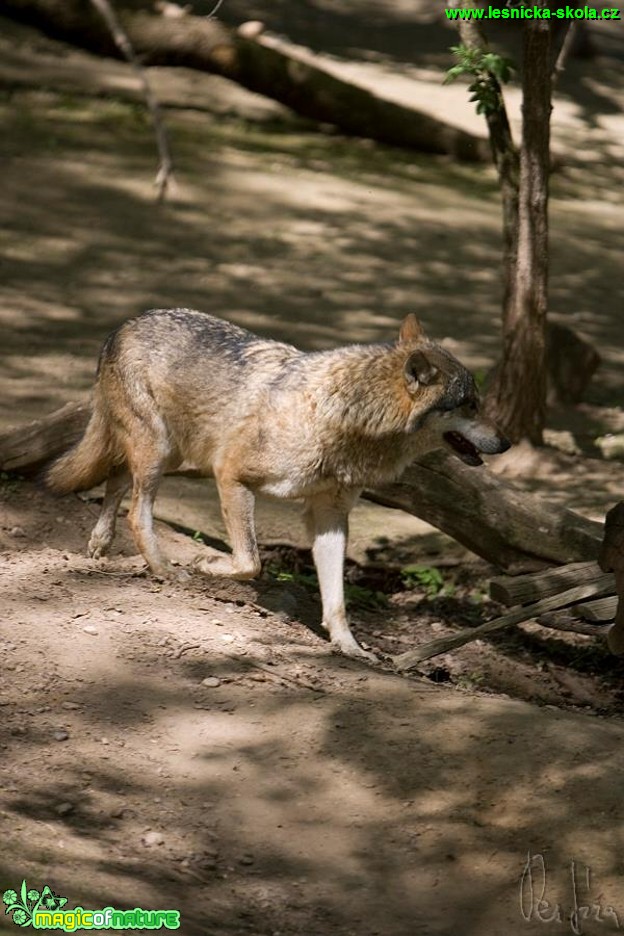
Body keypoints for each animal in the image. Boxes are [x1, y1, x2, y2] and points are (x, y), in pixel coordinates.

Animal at [47, 308, 508, 660]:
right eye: (470, 404)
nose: (505, 441)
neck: (339, 417)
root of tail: (125, 324)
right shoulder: (230, 474)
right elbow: (250, 561)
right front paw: (206, 564)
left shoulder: (330, 515)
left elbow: (337, 599)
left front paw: (349, 647)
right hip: (160, 452)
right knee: (137, 512)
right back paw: (164, 570)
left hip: (170, 454)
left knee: (115, 481)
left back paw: (100, 545)